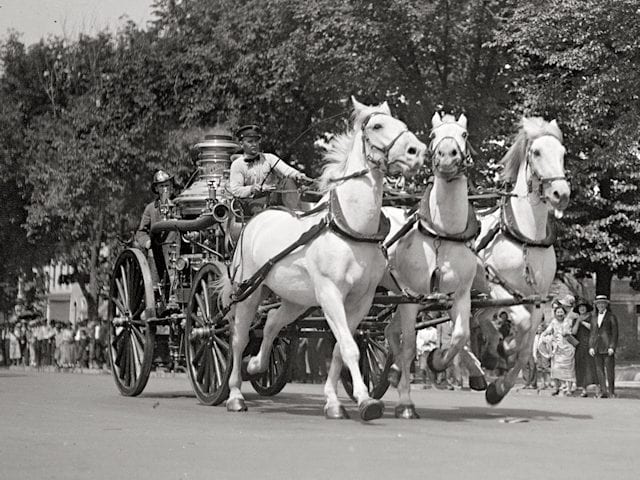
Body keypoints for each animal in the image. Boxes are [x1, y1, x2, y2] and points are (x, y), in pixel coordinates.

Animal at [214, 97, 424, 420]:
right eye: (377, 126)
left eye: (401, 124)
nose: (417, 151)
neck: (349, 228)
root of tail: (255, 220)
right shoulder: (330, 293)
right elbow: (349, 347)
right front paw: (365, 401)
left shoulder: (361, 300)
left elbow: (340, 347)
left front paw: (335, 402)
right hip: (250, 290)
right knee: (238, 337)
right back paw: (235, 393)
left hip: (296, 299)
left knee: (272, 322)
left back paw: (256, 365)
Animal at [378, 113, 482, 420]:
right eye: (434, 135)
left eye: (464, 134)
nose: (447, 156)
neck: (441, 234)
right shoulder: (412, 297)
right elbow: (411, 346)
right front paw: (405, 403)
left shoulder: (460, 296)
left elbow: (460, 336)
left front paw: (437, 361)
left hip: (394, 293)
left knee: (389, 332)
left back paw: (394, 371)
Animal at [472, 117, 572, 404]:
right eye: (536, 152)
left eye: (563, 154)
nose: (561, 193)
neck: (526, 237)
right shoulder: (497, 286)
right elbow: (522, 326)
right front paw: (505, 349)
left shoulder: (536, 299)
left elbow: (528, 347)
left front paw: (499, 386)